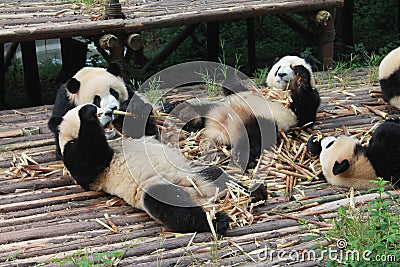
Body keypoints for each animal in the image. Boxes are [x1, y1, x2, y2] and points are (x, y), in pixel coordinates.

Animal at [49, 104, 234, 234]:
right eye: (97, 110)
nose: (110, 111)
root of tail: (200, 194)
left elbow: (142, 130)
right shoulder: (75, 156)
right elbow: (90, 161)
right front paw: (86, 113)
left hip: (192, 173)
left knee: (217, 176)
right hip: (157, 187)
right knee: (172, 209)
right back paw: (217, 220)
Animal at [170, 64, 320, 168]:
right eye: (278, 69)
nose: (282, 74)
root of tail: (219, 130)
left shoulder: (298, 110)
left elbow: (306, 111)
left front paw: (300, 76)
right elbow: (236, 88)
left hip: (260, 123)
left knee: (252, 138)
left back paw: (240, 155)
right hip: (218, 108)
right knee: (200, 112)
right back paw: (184, 111)